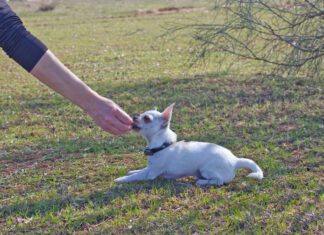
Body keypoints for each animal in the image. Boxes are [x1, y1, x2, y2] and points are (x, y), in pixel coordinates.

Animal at [116, 104, 264, 185]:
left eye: (146, 119)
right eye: (141, 114)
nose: (134, 116)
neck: (163, 145)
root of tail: (235, 160)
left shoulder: (151, 174)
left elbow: (136, 176)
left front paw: (121, 179)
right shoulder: (150, 168)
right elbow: (140, 170)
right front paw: (132, 170)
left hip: (206, 170)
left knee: (219, 181)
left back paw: (202, 182)